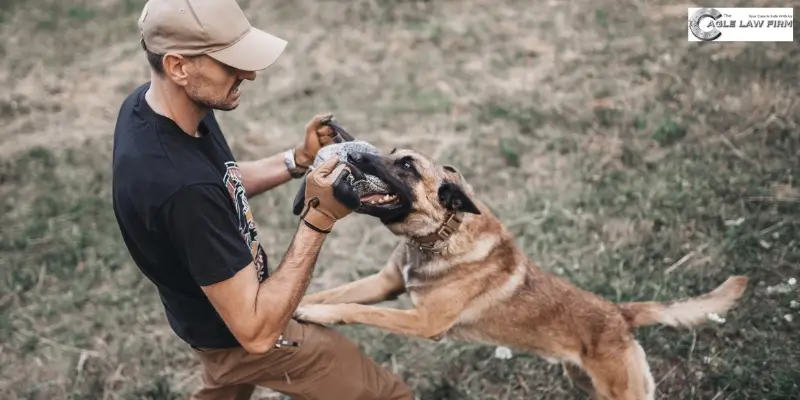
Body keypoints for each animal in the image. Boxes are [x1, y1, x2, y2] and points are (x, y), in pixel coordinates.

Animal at [294, 148, 752, 398]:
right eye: (390, 153)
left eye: (406, 165)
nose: (352, 155)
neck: (439, 236)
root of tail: (619, 315)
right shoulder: (385, 284)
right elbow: (334, 293)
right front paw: (298, 306)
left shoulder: (424, 322)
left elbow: (356, 309)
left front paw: (313, 314)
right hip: (586, 382)